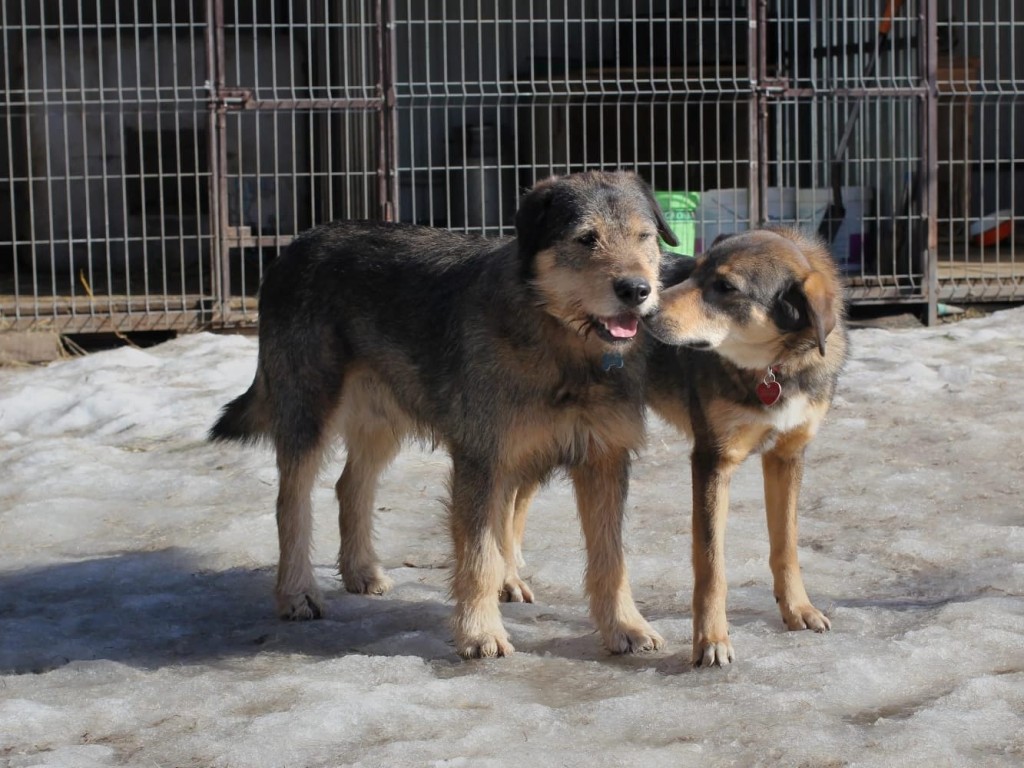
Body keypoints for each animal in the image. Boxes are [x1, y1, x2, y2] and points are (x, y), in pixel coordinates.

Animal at [207, 171, 671, 659]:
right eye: (586, 238)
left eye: (644, 237)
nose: (637, 290)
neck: (565, 348)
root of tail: (295, 244)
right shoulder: (483, 459)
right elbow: (479, 555)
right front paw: (480, 632)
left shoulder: (603, 459)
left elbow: (611, 559)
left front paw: (626, 626)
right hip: (309, 414)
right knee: (291, 503)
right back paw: (296, 592)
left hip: (383, 419)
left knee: (350, 485)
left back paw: (361, 571)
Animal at [647, 228, 847, 667]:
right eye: (695, 271)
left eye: (725, 287)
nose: (643, 311)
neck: (772, 370)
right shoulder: (712, 460)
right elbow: (711, 567)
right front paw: (711, 640)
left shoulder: (787, 457)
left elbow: (786, 546)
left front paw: (798, 610)